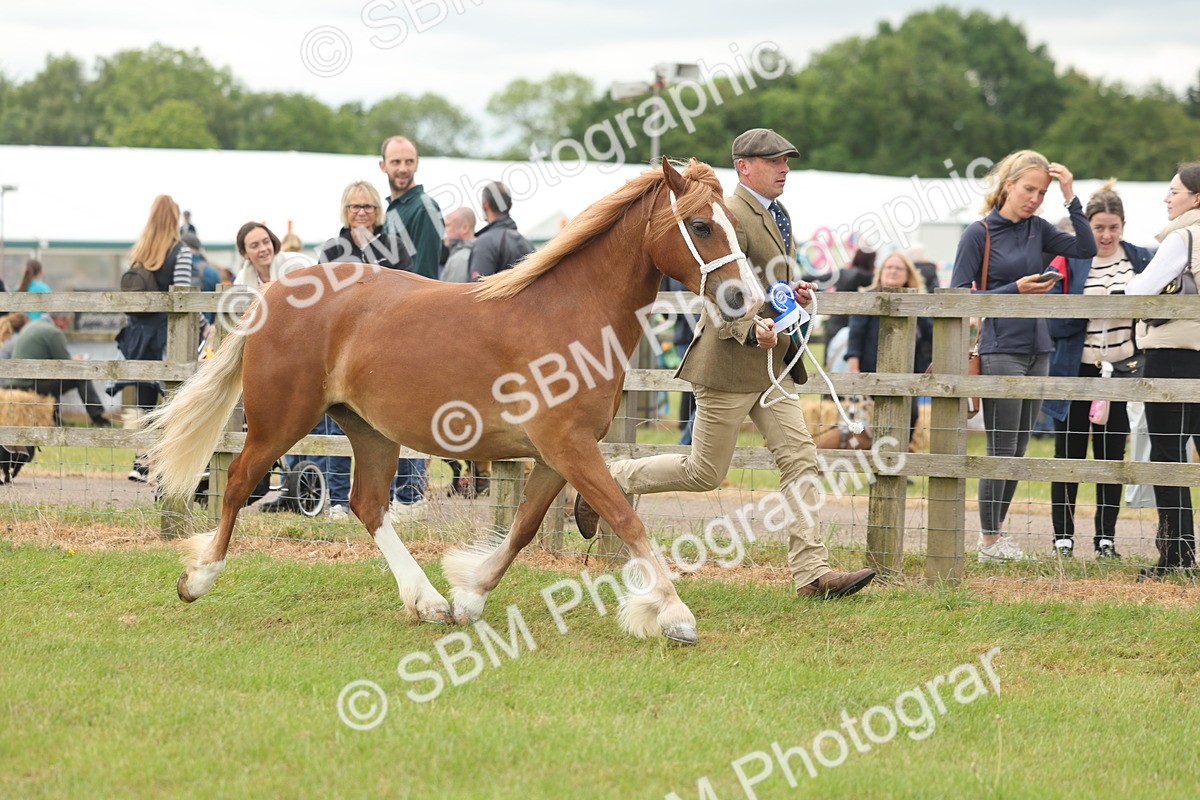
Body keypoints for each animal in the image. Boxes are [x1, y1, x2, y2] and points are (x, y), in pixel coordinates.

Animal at [146, 157, 764, 646]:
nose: (750, 300)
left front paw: (469, 595)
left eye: (735, 226)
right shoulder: (568, 446)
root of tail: (274, 291)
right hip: (280, 420)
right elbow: (624, 518)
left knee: (369, 505)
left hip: (368, 429)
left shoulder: (555, 455)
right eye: (702, 226)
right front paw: (675, 616)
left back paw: (427, 601)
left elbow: (523, 528)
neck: (571, 313)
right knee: (237, 483)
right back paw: (198, 578)